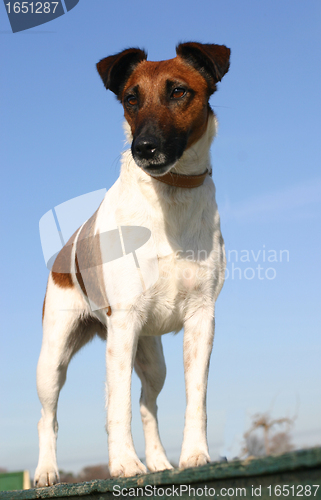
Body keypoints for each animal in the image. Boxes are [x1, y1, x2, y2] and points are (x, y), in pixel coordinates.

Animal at [34, 41, 230, 486]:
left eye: (179, 92)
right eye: (130, 99)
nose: (144, 148)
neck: (170, 196)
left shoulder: (201, 317)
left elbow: (196, 397)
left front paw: (194, 455)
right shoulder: (125, 322)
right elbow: (117, 405)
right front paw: (124, 464)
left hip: (151, 356)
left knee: (147, 403)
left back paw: (158, 462)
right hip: (53, 358)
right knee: (49, 417)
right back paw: (46, 471)